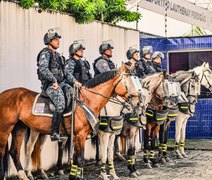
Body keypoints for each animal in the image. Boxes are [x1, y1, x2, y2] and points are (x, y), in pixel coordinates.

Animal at [0, 64, 139, 179]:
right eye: (127, 83)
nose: (137, 102)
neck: (87, 101)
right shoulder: (82, 135)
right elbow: (81, 159)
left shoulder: (86, 136)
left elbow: (80, 159)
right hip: (6, 129)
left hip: (19, 127)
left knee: (14, 152)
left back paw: (23, 175)